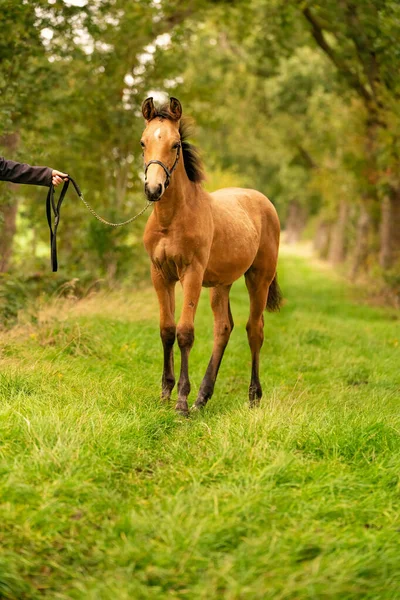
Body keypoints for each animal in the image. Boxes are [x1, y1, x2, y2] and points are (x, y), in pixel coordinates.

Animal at [141, 99, 282, 418]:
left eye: (176, 144)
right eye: (143, 143)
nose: (153, 189)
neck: (171, 220)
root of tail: (264, 202)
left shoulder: (191, 273)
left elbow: (185, 332)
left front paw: (181, 401)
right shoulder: (160, 275)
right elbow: (167, 330)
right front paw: (165, 393)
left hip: (259, 278)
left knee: (254, 329)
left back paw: (253, 396)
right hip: (221, 284)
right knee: (224, 328)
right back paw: (203, 397)